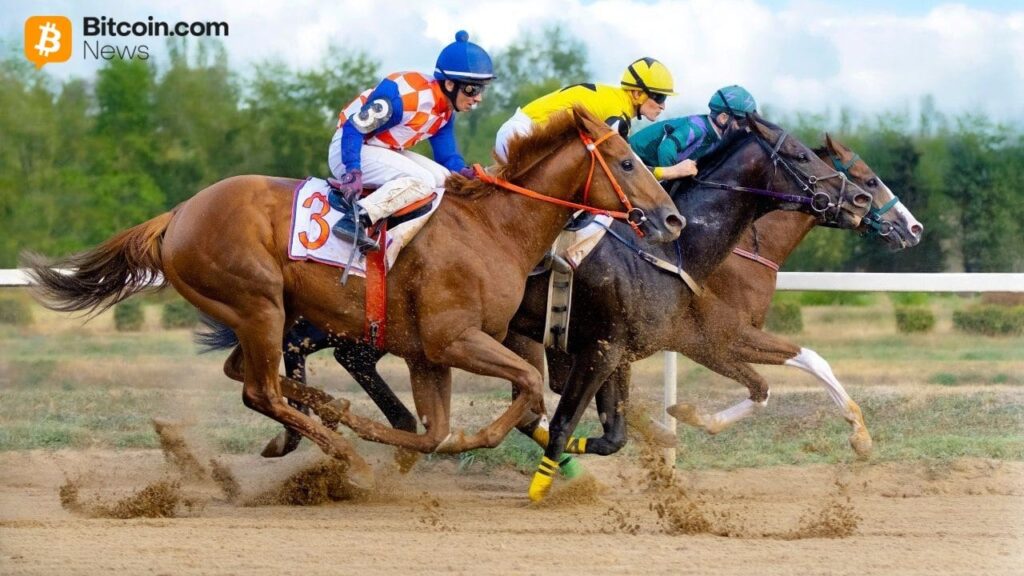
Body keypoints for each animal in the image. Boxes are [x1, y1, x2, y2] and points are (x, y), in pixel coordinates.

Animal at [21, 107, 684, 490]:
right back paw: (344, 452)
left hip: (269, 315)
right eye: (627, 162)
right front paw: (431, 441)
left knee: (253, 377)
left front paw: (395, 435)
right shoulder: (453, 338)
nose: (671, 219)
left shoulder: (425, 352)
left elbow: (434, 428)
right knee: (260, 389)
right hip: (259, 304)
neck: (493, 228)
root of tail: (177, 215)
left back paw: (328, 424)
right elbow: (520, 389)